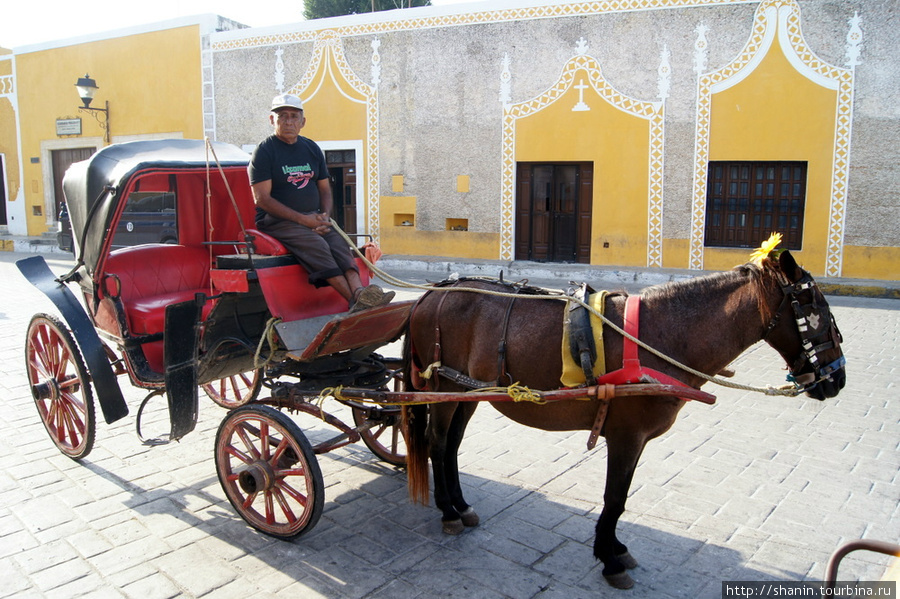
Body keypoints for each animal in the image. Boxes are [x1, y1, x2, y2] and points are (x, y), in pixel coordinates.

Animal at [404, 248, 848, 592]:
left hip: (466, 393)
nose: (838, 378)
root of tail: (432, 294)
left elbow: (621, 498)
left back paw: (461, 504)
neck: (660, 334)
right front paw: (609, 559)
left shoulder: (636, 439)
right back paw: (447, 511)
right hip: (442, 386)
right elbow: (614, 498)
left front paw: (614, 548)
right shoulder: (627, 435)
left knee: (452, 447)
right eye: (815, 309)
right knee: (437, 443)